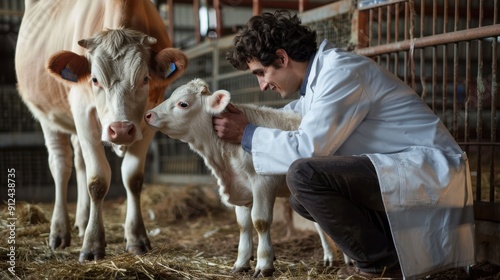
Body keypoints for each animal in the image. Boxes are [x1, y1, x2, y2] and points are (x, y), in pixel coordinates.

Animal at [16, 0, 188, 262]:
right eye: (95, 80)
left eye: (145, 79)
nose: (121, 129)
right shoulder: (82, 112)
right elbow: (97, 180)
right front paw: (93, 243)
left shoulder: (150, 116)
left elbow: (133, 178)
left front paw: (136, 237)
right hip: (46, 116)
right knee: (60, 166)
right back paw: (59, 232)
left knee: (79, 163)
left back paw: (81, 221)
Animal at [143, 79, 342, 278]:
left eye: (183, 103)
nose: (148, 114)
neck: (223, 161)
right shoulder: (241, 189)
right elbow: (243, 225)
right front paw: (241, 263)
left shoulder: (263, 183)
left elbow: (260, 222)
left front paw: (264, 265)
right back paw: (332, 258)